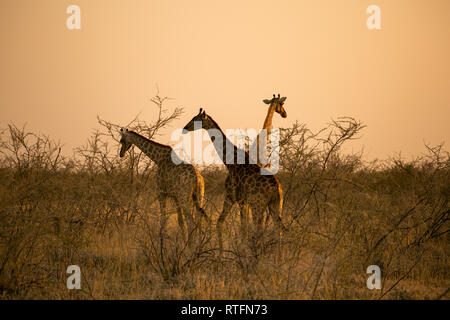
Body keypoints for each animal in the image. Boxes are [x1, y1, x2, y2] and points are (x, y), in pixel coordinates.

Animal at [181, 109, 284, 258]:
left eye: (196, 119)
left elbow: (220, 222)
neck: (230, 163)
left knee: (259, 228)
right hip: (275, 204)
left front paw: (221, 256)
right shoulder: (243, 201)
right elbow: (243, 228)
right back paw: (279, 260)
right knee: (278, 227)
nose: (184, 128)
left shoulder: (231, 196)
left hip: (258, 205)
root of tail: (276, 188)